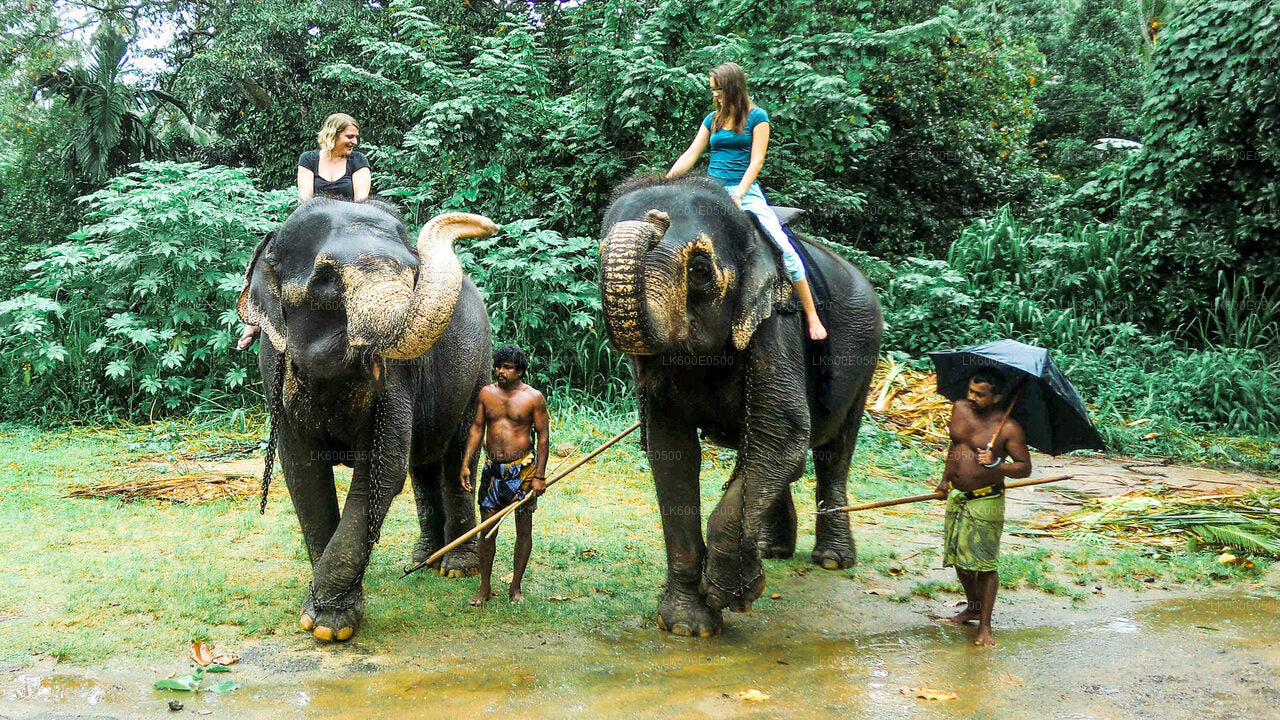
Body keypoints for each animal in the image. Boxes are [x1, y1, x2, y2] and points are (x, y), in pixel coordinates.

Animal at [238, 196, 491, 638]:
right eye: (325, 280)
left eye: (413, 273)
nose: (489, 225)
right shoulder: (274, 367)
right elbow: (302, 473)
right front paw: (324, 616)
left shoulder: (397, 376)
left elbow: (381, 469)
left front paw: (328, 625)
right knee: (423, 464)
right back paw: (422, 559)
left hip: (479, 368)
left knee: (457, 457)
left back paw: (455, 568)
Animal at [596, 174, 880, 632]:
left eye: (699, 270)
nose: (656, 219)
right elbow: (673, 454)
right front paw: (688, 625)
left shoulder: (776, 325)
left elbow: (781, 434)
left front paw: (732, 594)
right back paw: (770, 550)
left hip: (866, 357)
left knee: (832, 451)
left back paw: (833, 560)